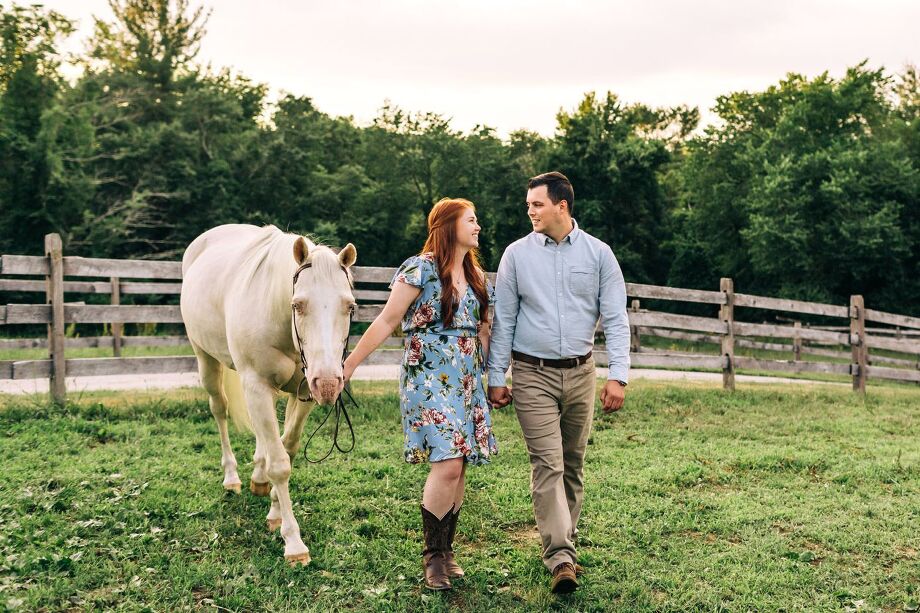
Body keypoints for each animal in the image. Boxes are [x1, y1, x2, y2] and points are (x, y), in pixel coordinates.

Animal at [180, 224, 356, 564]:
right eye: (297, 304)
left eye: (350, 306)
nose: (329, 384)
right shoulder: (257, 385)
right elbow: (280, 465)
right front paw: (294, 543)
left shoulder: (304, 392)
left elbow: (287, 449)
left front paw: (275, 512)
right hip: (206, 360)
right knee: (219, 409)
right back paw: (232, 477)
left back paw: (258, 477)